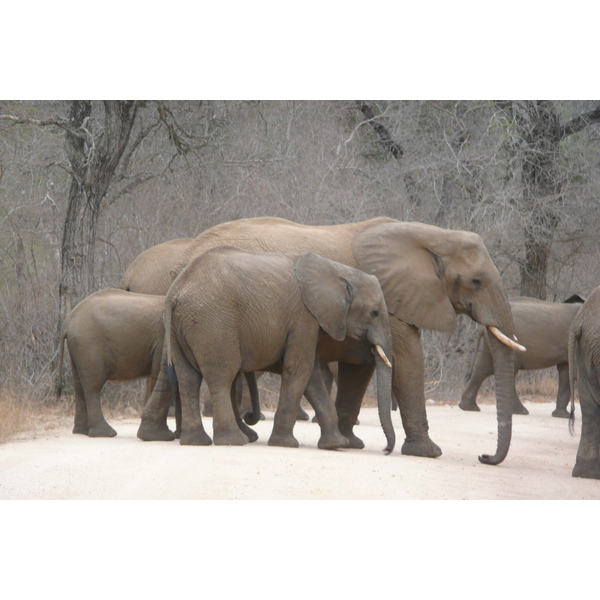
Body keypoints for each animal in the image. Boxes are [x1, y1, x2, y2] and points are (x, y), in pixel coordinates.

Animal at [138, 246, 396, 452]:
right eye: (374, 313)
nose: (385, 450)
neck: (339, 271)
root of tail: (175, 291)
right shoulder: (304, 317)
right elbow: (299, 370)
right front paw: (287, 444)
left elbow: (311, 376)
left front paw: (336, 445)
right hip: (213, 323)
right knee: (221, 376)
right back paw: (233, 441)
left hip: (179, 328)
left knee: (188, 378)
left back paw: (196, 442)